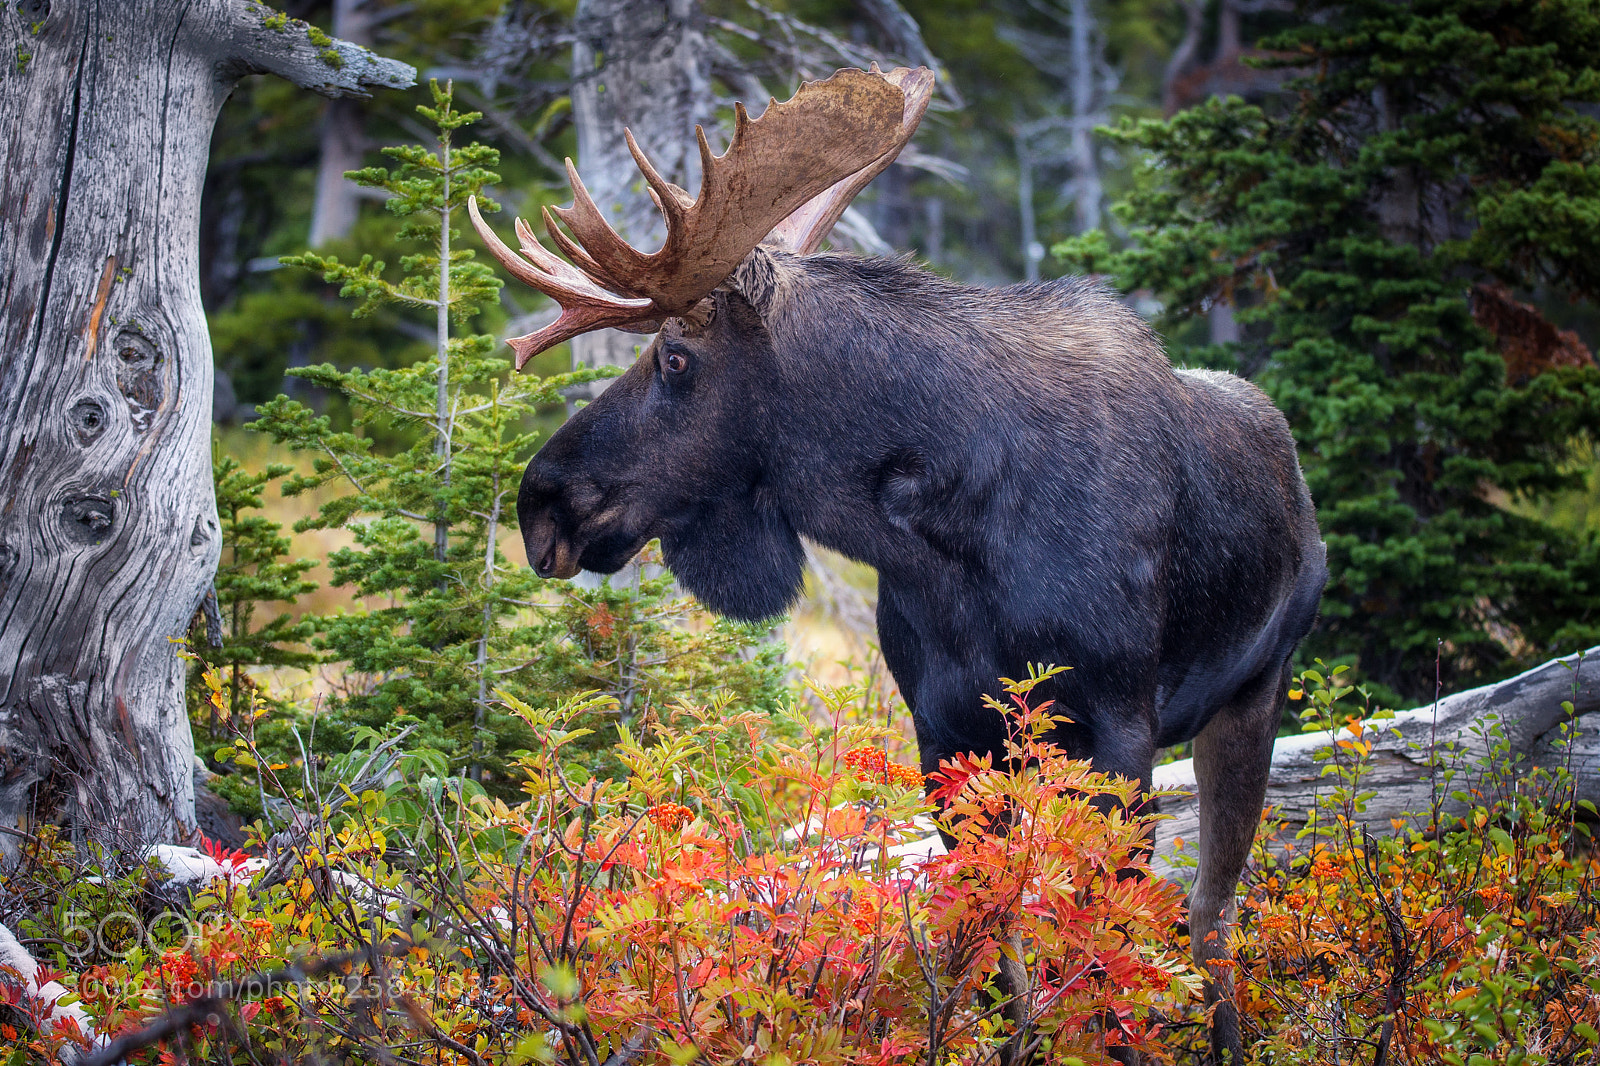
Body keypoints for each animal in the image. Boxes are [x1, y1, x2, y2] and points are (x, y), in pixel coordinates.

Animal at [468, 65, 1326, 1064]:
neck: (937, 534)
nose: (542, 502)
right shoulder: (945, 732)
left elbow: (1102, 953)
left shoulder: (1120, 725)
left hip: (1255, 692)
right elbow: (1000, 959)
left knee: (1210, 915)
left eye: (675, 356)